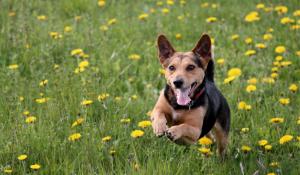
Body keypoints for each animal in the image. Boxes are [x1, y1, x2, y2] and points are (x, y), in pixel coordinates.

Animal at [151, 33, 231, 161]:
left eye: (191, 67)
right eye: (171, 68)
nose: (177, 82)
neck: (179, 105)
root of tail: (210, 82)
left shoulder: (196, 131)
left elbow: (184, 126)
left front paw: (174, 131)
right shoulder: (157, 109)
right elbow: (158, 113)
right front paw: (158, 127)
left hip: (222, 135)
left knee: (221, 149)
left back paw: (221, 161)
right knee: (210, 138)